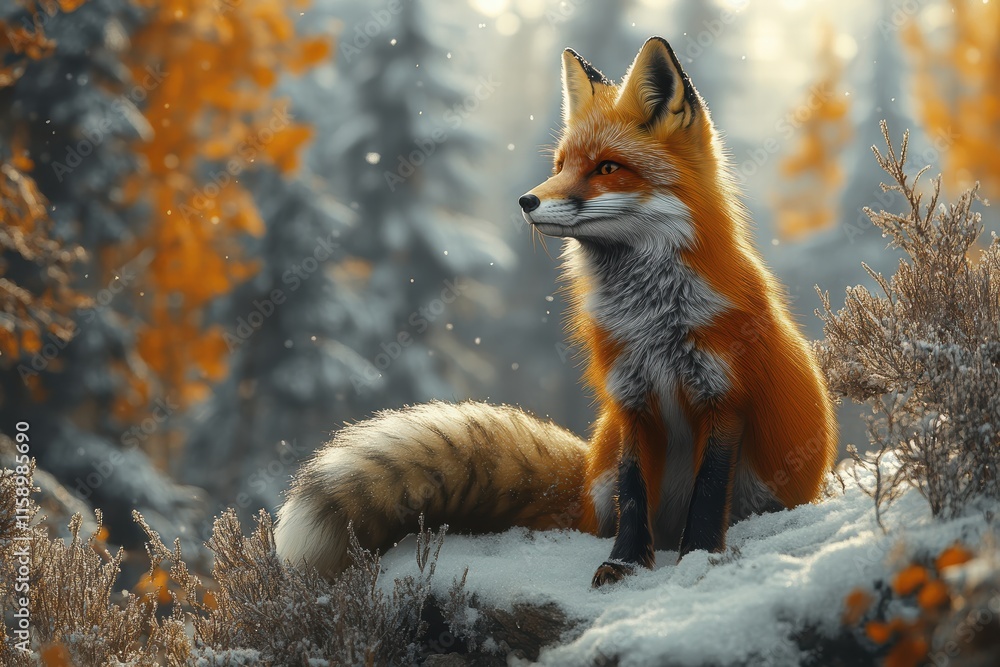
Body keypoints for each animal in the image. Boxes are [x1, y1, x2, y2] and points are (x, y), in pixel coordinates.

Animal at [275, 36, 837, 587]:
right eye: (561, 166)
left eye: (607, 168)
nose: (525, 201)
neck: (653, 319)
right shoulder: (631, 400)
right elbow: (635, 498)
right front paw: (624, 566)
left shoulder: (724, 398)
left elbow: (707, 496)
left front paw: (698, 559)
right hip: (605, 469)